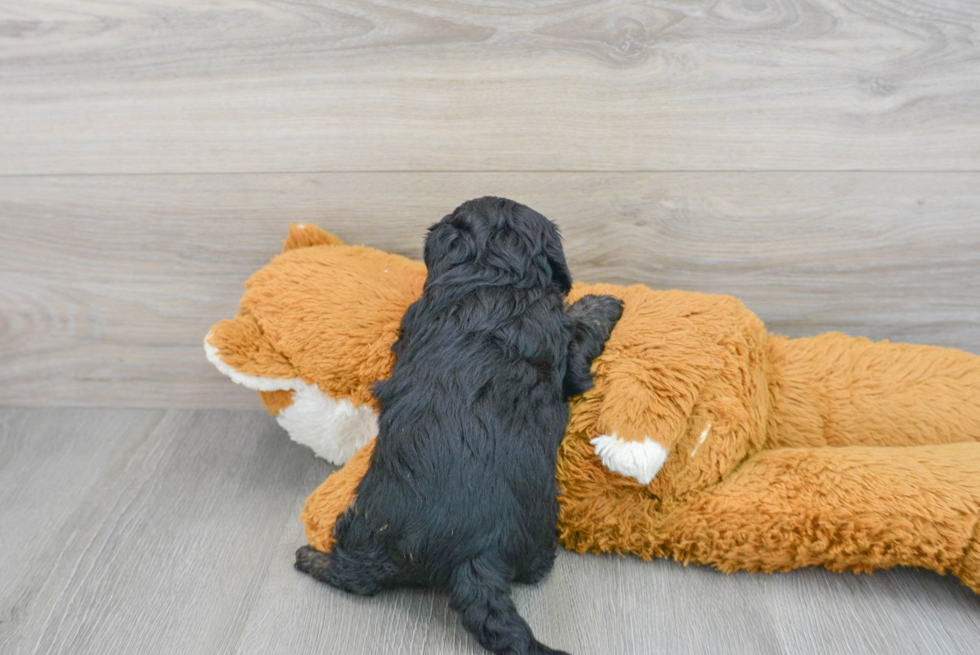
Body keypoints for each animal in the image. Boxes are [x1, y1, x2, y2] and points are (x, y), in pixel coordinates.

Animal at [294, 197, 624, 652]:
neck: (494, 282)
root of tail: (474, 556)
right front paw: (602, 303)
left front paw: (600, 302)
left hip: (368, 526)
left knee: (357, 577)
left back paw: (311, 558)